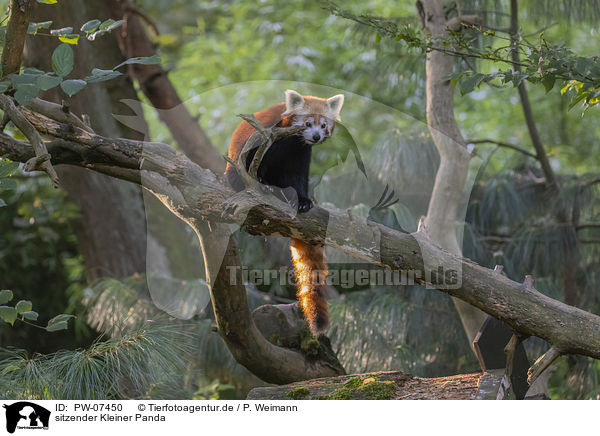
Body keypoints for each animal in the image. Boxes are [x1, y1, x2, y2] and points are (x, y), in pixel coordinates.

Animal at [225, 89, 344, 334]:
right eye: (308, 123)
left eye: (324, 125)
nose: (316, 136)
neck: (292, 143)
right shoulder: (266, 139)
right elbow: (254, 164)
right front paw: (262, 185)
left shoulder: (300, 155)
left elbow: (298, 178)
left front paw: (304, 201)